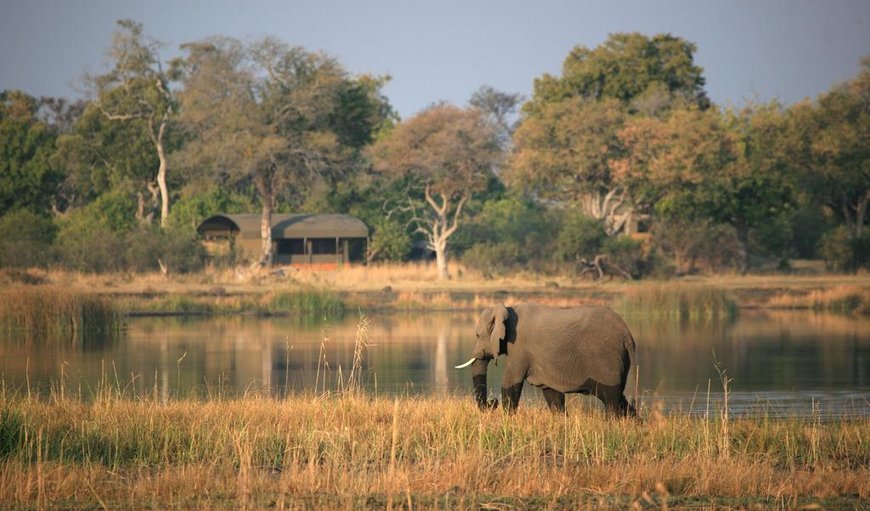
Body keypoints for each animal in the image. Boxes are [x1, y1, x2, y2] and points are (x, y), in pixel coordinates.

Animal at [456, 304, 640, 416]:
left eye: (477, 335)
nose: (492, 402)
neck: (508, 309)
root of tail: (627, 335)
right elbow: (551, 392)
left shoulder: (519, 348)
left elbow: (510, 382)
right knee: (620, 399)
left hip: (606, 359)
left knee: (611, 399)